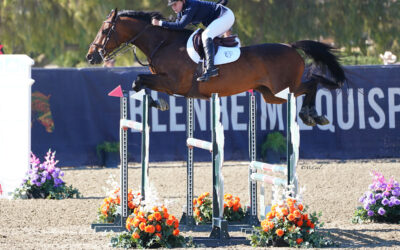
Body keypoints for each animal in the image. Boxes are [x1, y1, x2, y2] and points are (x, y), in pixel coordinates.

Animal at [86, 8, 346, 126]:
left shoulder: (173, 83)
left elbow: (138, 81)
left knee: (312, 84)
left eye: (105, 30)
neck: (164, 43)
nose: (91, 56)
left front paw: (156, 103)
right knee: (311, 84)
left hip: (283, 89)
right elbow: (141, 83)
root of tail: (290, 46)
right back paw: (312, 115)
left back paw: (311, 115)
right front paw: (157, 103)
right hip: (271, 95)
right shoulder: (163, 80)